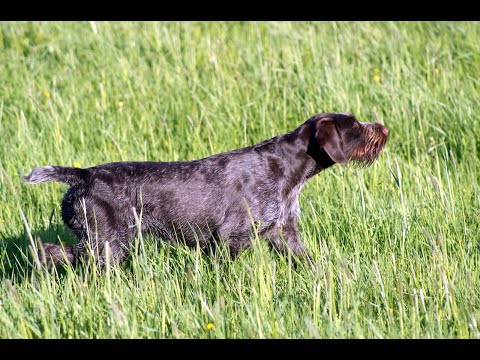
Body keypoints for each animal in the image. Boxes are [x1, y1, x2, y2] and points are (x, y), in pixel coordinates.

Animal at [23, 112, 390, 268]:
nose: (385, 129)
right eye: (355, 126)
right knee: (54, 252)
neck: (287, 168)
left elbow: (310, 262)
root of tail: (84, 175)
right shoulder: (230, 239)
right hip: (109, 243)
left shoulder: (284, 234)